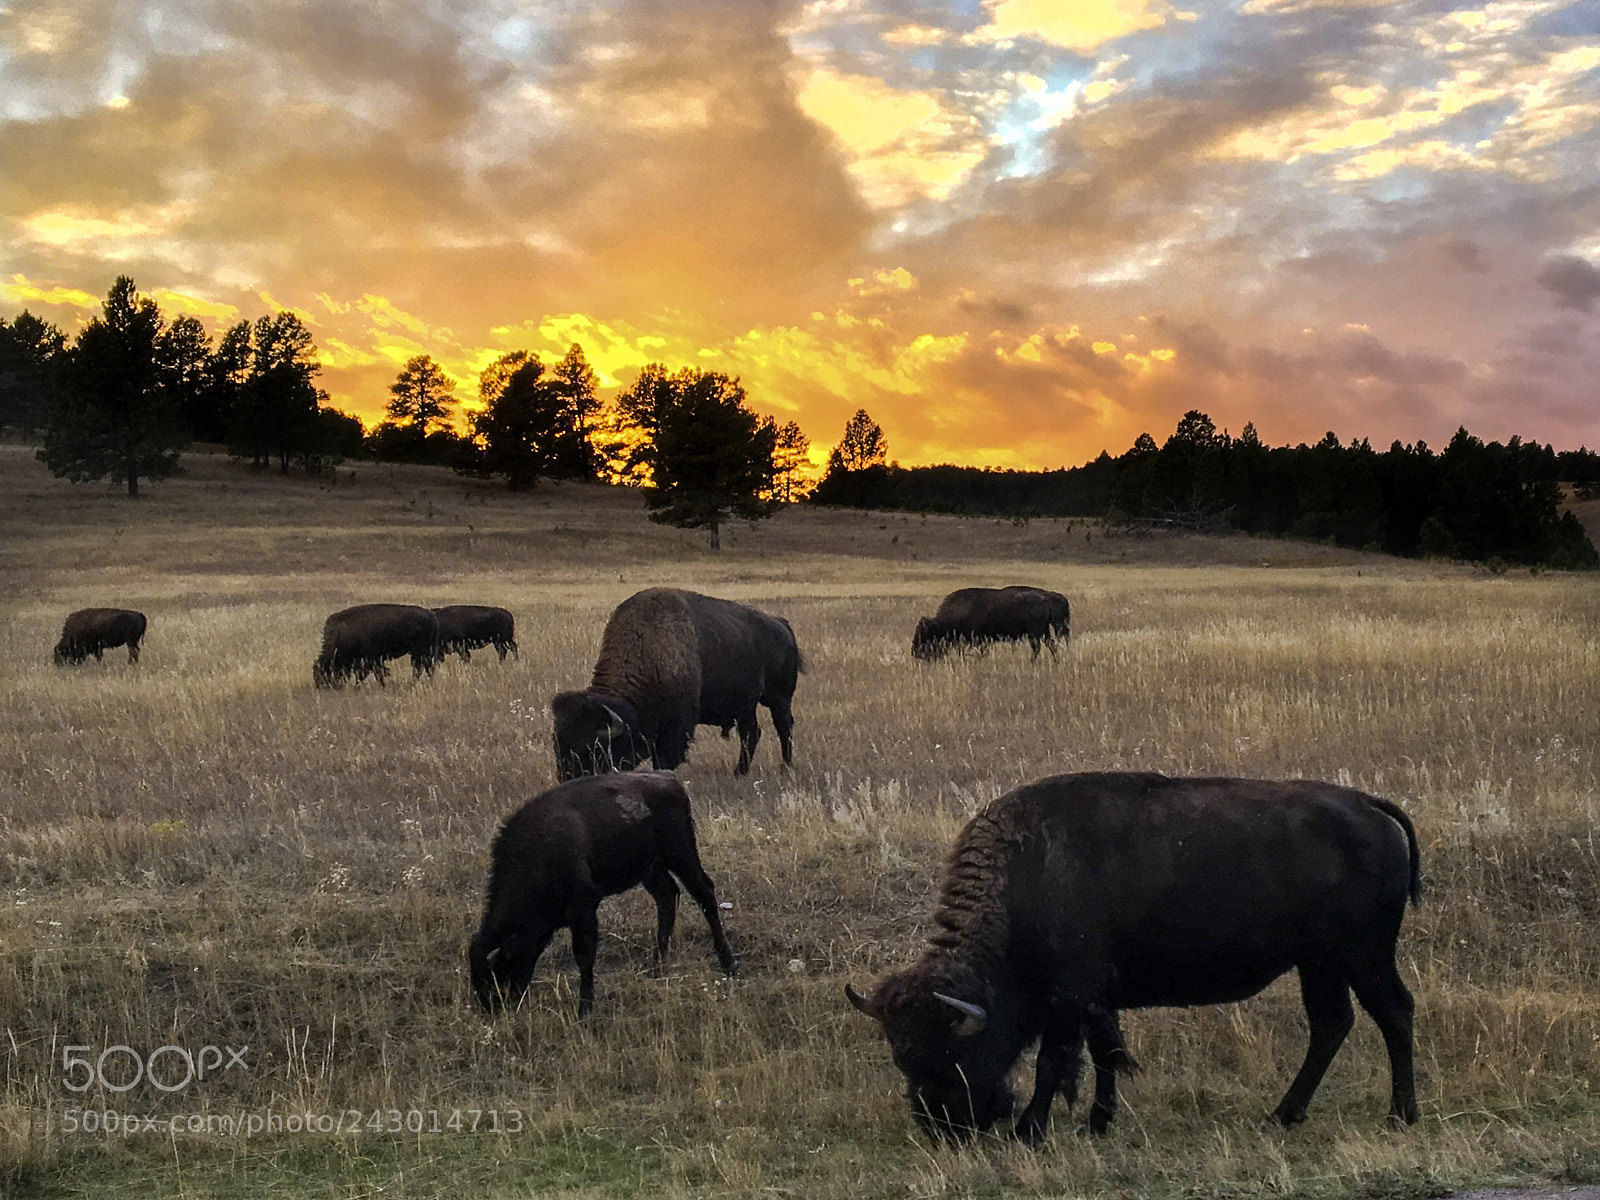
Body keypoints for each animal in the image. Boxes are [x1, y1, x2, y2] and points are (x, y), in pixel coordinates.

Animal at [469, 770, 738, 1015]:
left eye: (501, 965)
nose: (493, 1007)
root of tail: (671, 783)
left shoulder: (584, 908)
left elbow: (584, 954)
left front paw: (585, 1010)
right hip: (651, 868)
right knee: (668, 897)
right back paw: (657, 965)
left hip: (681, 854)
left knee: (704, 894)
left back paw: (728, 963)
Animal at [551, 587, 803, 780]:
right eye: (557, 744)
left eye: (594, 749)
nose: (568, 778)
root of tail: (782, 625)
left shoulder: (676, 730)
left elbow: (665, 760)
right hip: (745, 706)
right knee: (751, 733)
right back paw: (739, 773)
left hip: (779, 697)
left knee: (784, 727)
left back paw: (785, 768)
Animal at [847, 772, 1422, 1143]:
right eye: (901, 1056)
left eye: (954, 1052)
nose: (943, 1129)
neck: (1028, 875)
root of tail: (1369, 805)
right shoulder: (1097, 1000)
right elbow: (1105, 1054)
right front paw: (1098, 1123)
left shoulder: (1070, 997)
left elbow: (1056, 1060)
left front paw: (1030, 1130)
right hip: (1319, 963)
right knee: (1331, 1024)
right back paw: (1283, 1115)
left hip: (1363, 956)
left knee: (1394, 1012)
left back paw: (1401, 1116)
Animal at [912, 586, 1070, 661]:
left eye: (924, 634)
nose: (915, 653)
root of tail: (1045, 600)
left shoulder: (979, 640)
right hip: (1043, 632)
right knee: (1050, 645)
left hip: (1034, 633)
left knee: (1038, 647)